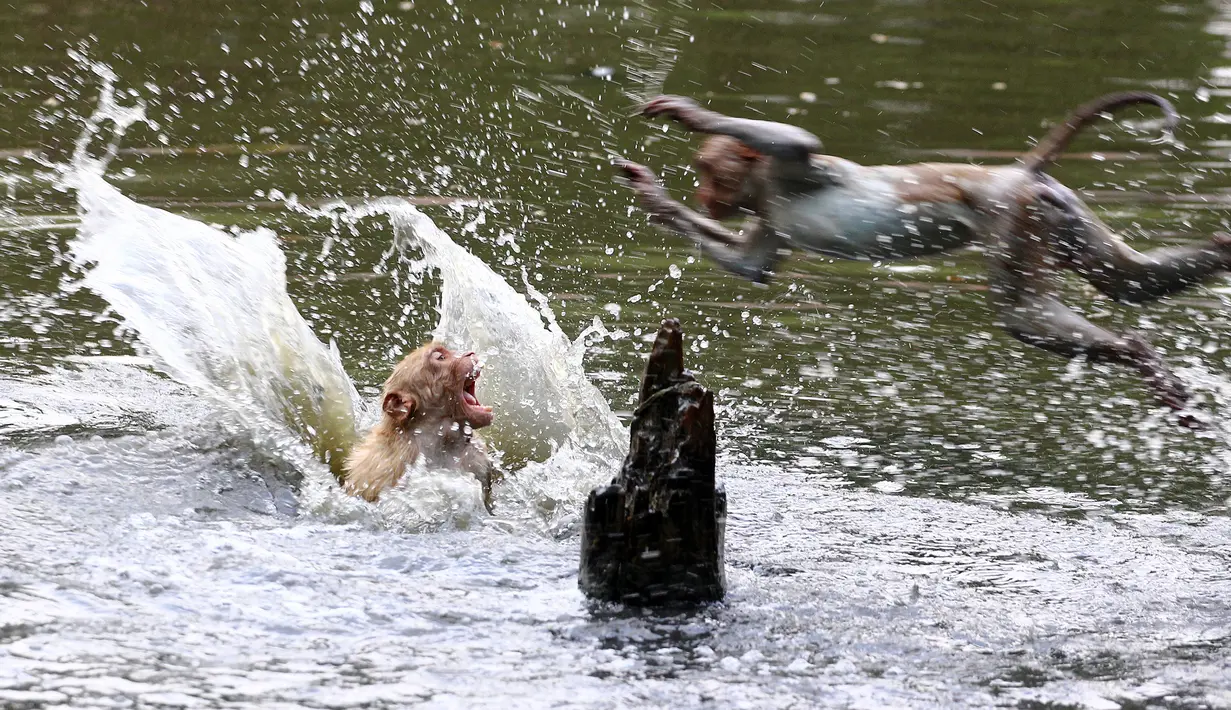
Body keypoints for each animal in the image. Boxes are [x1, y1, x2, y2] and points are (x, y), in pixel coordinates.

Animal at [615, 94, 1231, 415]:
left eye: (707, 169)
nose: (703, 196)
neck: (762, 188)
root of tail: (1016, 174)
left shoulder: (789, 172)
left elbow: (798, 143)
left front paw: (692, 114)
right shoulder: (767, 214)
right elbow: (753, 267)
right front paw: (653, 197)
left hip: (1012, 218)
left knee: (1023, 313)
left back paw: (1137, 351)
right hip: (1057, 210)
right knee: (1129, 281)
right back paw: (1214, 258)